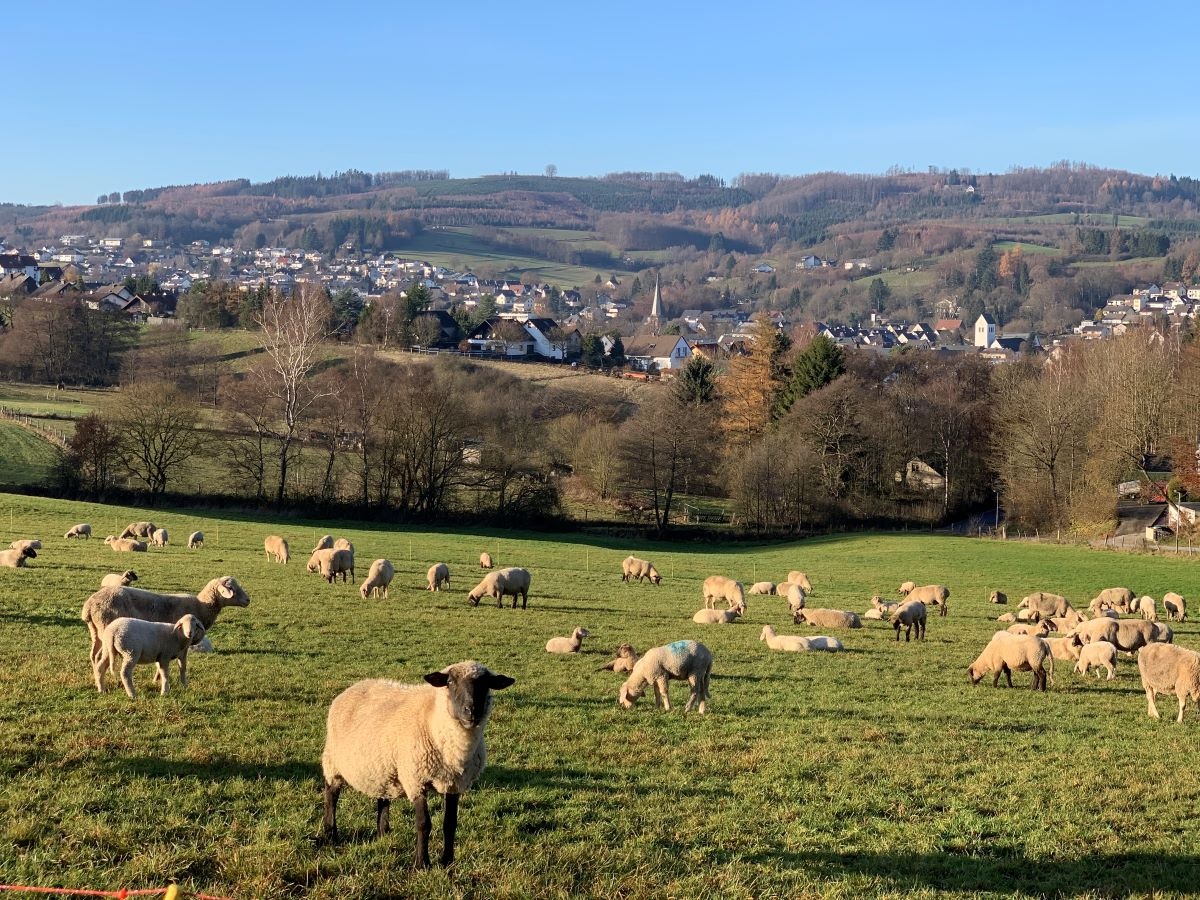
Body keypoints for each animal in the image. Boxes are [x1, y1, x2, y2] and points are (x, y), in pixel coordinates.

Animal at [80, 578, 250, 672]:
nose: (248, 600)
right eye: (231, 588)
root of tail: (89, 605)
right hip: (106, 628)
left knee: (94, 655)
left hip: (96, 630)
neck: (201, 605)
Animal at [324, 662, 516, 868]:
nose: (471, 711)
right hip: (332, 761)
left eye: (486, 684)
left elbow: (450, 823)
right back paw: (330, 833)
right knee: (331, 795)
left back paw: (383, 832)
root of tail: (357, 685)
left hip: (383, 766)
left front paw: (447, 861)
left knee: (383, 796)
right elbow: (424, 824)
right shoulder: (416, 780)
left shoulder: (454, 784)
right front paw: (421, 863)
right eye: (450, 682)